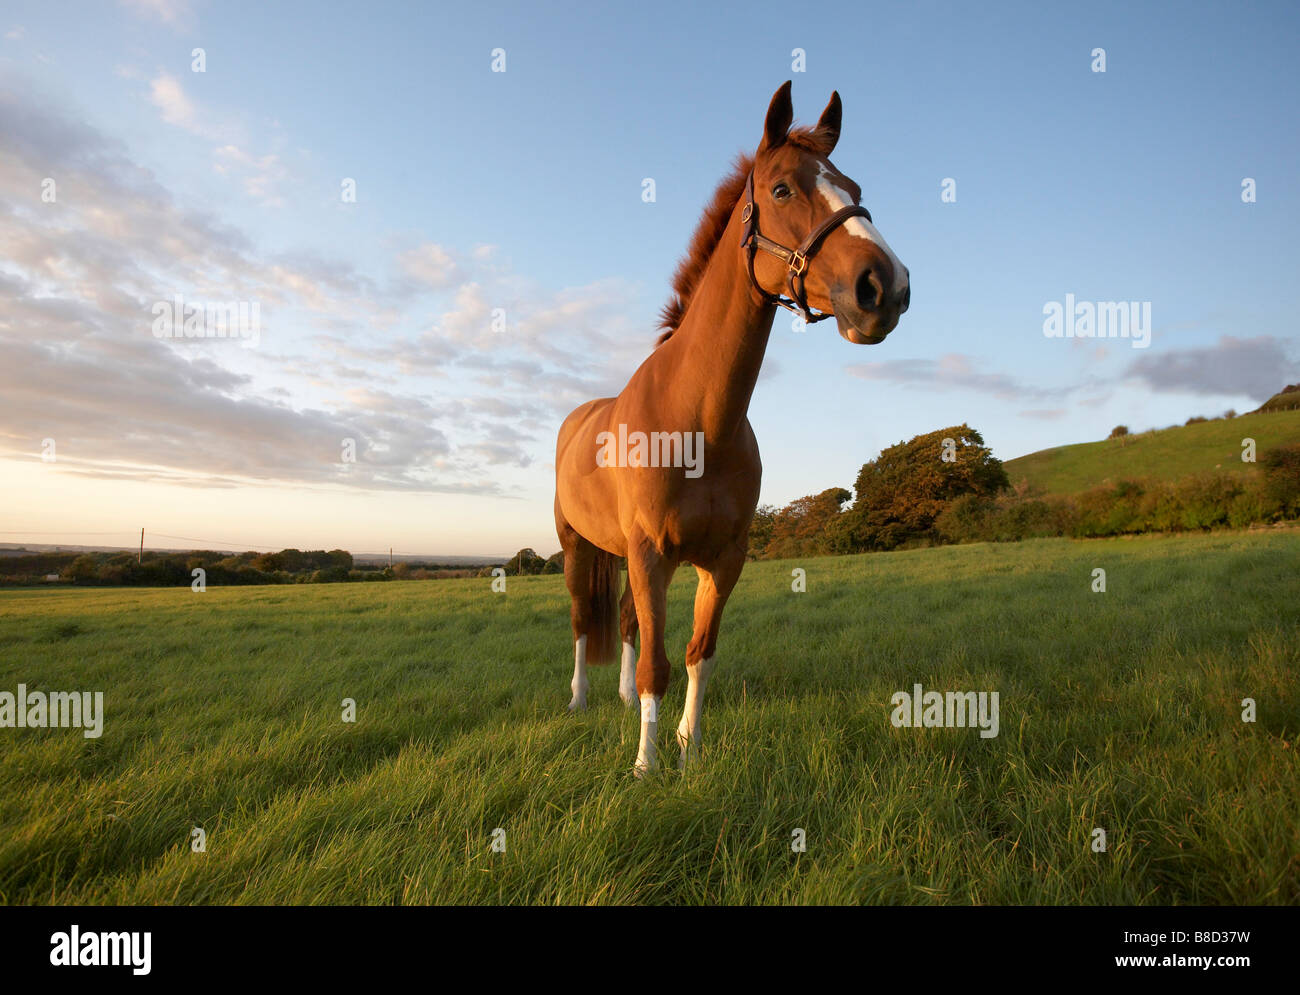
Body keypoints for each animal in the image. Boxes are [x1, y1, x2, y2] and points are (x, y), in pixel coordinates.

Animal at [553, 81, 910, 775]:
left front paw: (687, 749)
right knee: (584, 622)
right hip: (579, 547)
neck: (696, 422)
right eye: (782, 189)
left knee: (626, 623)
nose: (885, 286)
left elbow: (697, 653)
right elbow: (658, 666)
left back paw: (618, 699)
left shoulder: (722, 559)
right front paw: (646, 766)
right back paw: (581, 698)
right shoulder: (652, 553)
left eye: (853, 187)